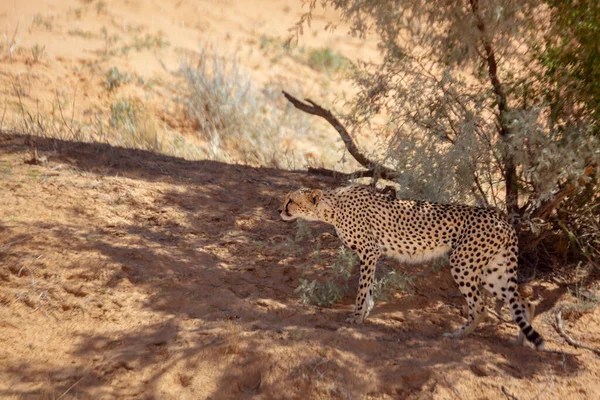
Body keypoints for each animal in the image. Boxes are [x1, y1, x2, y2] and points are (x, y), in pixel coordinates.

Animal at [278, 186, 548, 348]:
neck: (331, 207)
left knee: (480, 308)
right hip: (493, 270)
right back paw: (521, 341)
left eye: (290, 200)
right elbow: (369, 290)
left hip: (463, 263)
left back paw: (457, 336)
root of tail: (502, 218)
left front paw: (355, 318)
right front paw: (364, 316)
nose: (279, 210)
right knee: (524, 302)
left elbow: (362, 290)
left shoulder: (369, 252)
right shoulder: (374, 254)